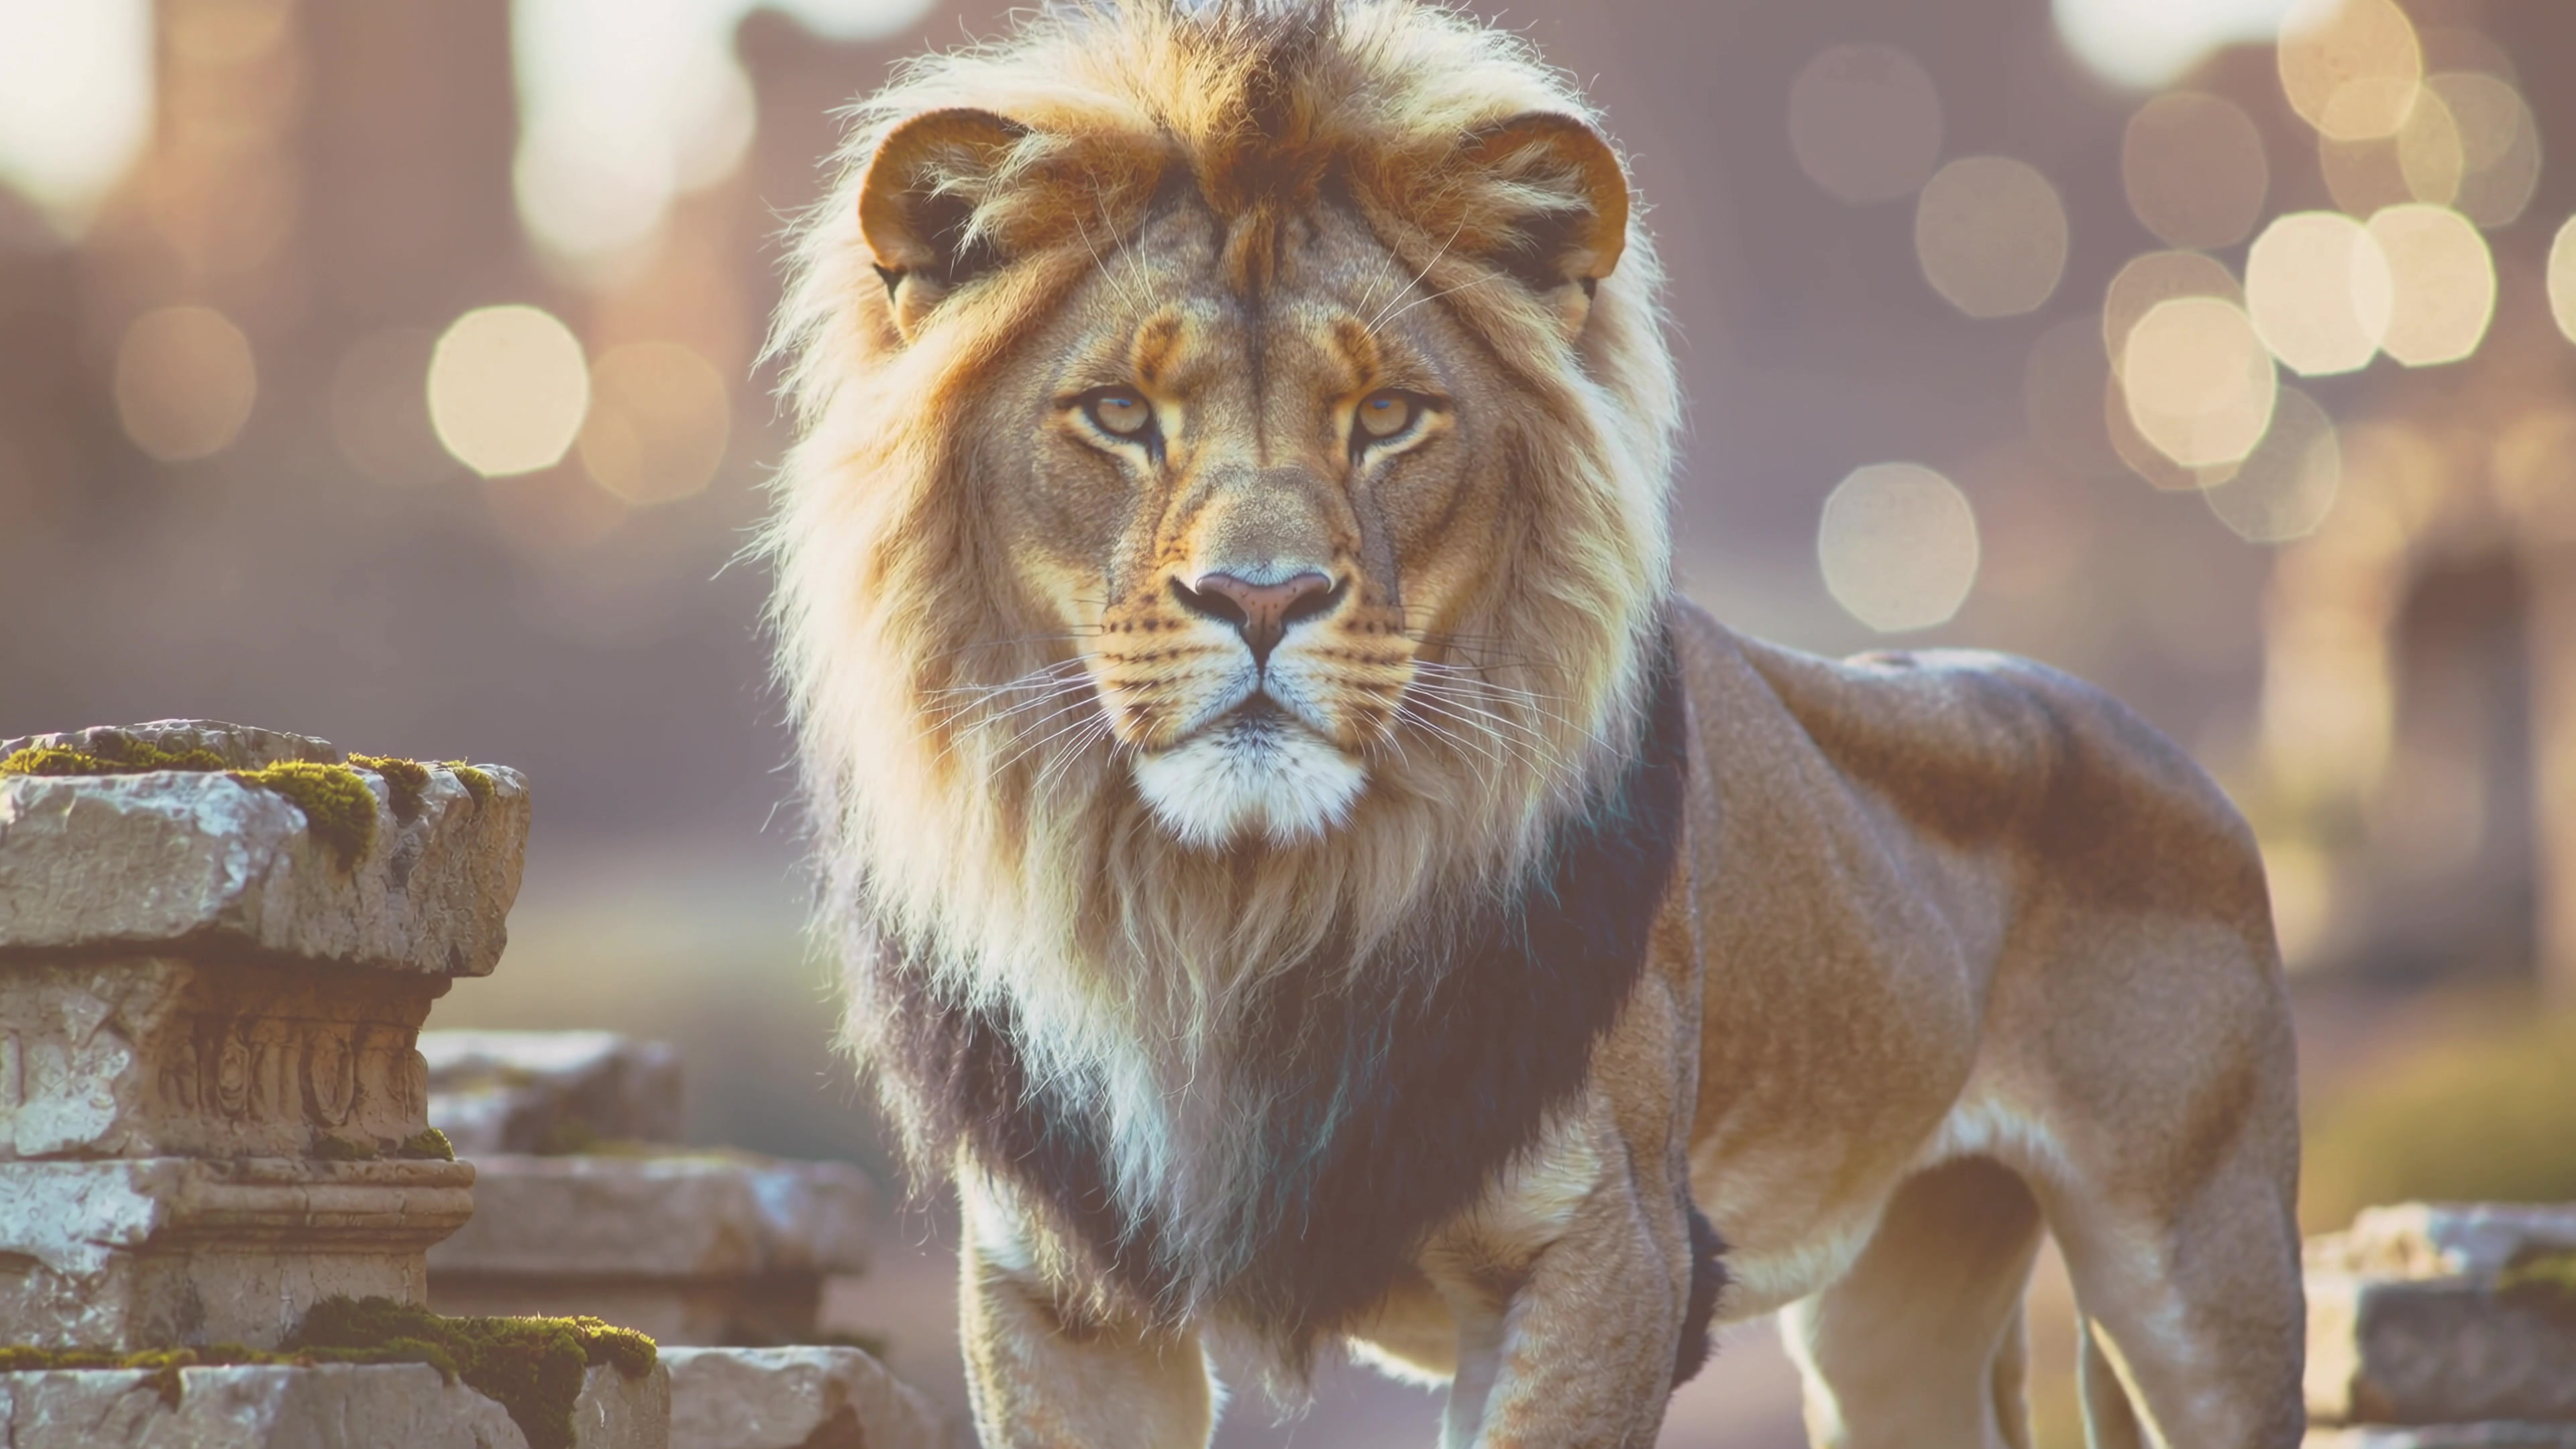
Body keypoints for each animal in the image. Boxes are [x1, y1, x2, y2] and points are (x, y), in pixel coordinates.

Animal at [762, 3, 2307, 1445]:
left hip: (2202, 1272)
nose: (1262, 599)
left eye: (1389, 416)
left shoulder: (1602, 1253)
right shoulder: (1055, 1296)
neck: (1233, 915)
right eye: (1119, 416)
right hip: (1899, 1319)